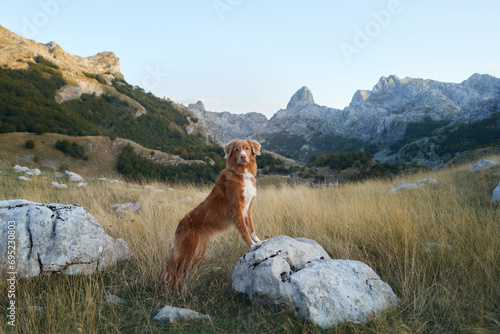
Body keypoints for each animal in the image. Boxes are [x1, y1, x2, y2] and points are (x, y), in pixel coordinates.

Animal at [163, 140, 266, 290]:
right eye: (236, 150)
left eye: (247, 148)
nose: (243, 156)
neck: (241, 173)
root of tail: (180, 223)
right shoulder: (236, 210)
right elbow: (245, 231)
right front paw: (252, 246)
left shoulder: (247, 210)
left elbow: (251, 229)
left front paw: (259, 241)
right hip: (188, 250)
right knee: (177, 273)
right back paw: (176, 292)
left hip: (199, 252)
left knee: (183, 272)